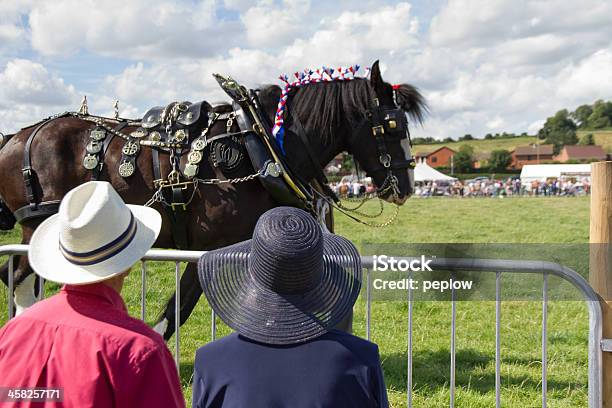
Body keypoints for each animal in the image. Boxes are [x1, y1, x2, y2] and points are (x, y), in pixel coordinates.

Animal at [0, 61, 428, 342]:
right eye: (391, 125)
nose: (406, 185)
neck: (258, 143)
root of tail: (20, 135)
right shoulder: (209, 246)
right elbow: (178, 310)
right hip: (36, 226)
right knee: (19, 278)